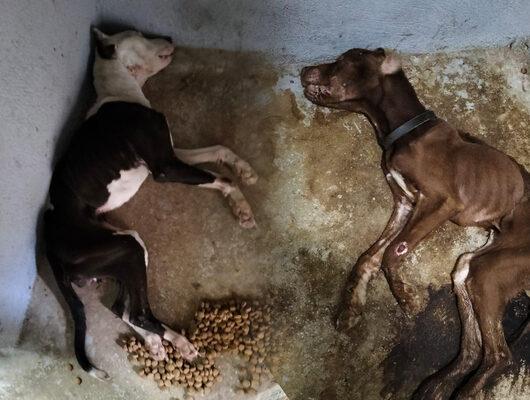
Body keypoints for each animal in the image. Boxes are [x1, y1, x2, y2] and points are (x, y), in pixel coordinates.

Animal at [44, 29, 256, 380]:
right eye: (140, 34)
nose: (169, 35)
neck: (120, 90)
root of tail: (49, 250)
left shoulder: (172, 154)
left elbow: (218, 151)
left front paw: (245, 170)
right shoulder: (165, 167)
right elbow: (221, 179)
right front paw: (242, 205)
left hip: (124, 252)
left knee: (122, 309)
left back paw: (157, 342)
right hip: (127, 247)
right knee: (137, 312)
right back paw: (179, 341)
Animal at [302, 50, 528, 400]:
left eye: (343, 60)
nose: (302, 70)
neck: (403, 132)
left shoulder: (440, 201)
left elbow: (394, 251)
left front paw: (407, 298)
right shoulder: (404, 203)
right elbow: (369, 257)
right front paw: (351, 308)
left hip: (490, 270)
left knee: (499, 355)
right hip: (470, 266)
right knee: (472, 348)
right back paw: (433, 386)